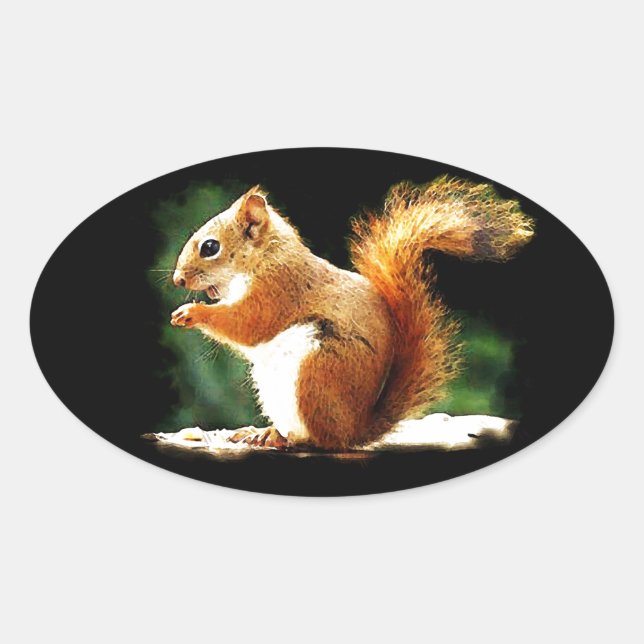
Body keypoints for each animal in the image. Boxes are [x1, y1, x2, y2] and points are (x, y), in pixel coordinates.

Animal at [170, 176, 534, 450]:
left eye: (210, 247)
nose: (178, 280)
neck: (265, 257)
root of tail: (355, 430)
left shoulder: (278, 291)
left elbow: (246, 324)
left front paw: (192, 312)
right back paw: (261, 432)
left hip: (315, 374)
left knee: (321, 440)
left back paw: (285, 437)